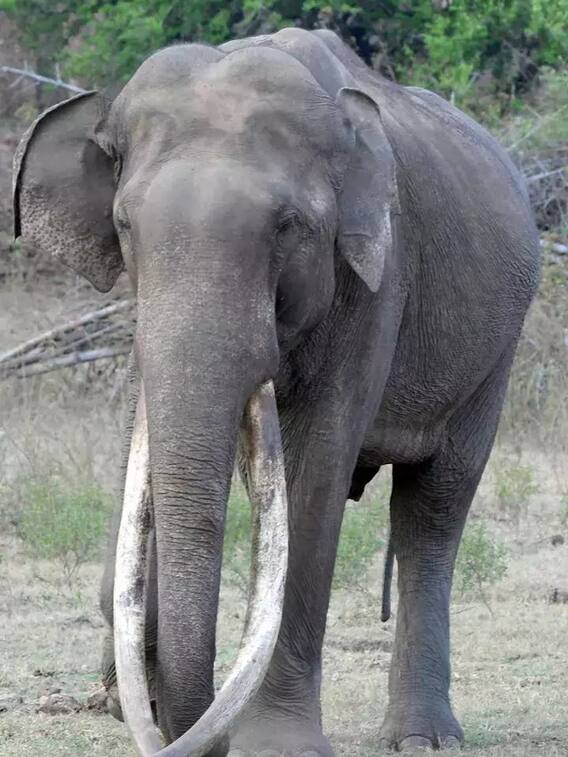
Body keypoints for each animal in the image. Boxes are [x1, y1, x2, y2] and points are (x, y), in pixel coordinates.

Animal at [12, 27, 540, 757]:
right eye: (123, 226)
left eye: (288, 226)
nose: (172, 723)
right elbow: (140, 454)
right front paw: (127, 694)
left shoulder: (375, 281)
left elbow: (314, 471)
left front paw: (277, 743)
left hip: (496, 352)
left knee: (435, 504)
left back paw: (424, 738)